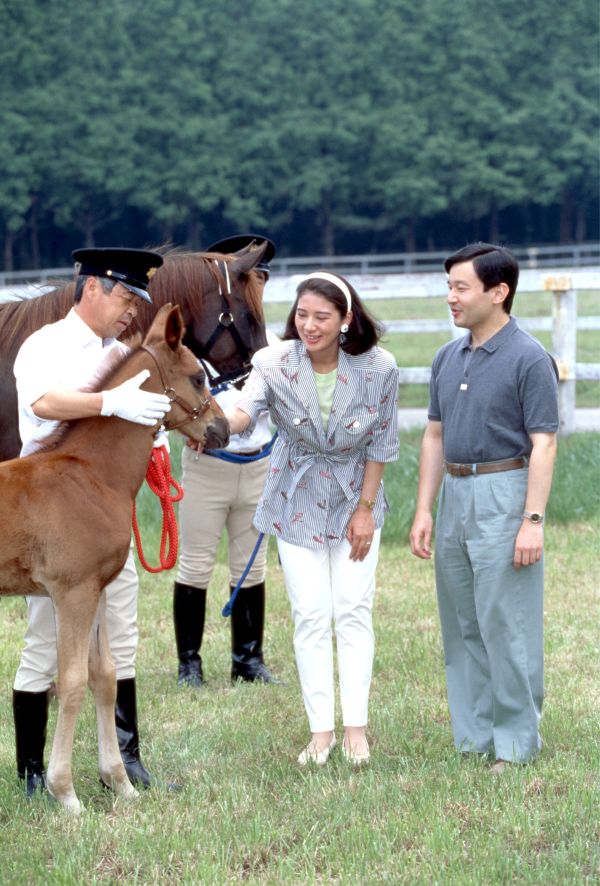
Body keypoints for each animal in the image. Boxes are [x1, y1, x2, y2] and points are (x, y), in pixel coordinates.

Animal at [0, 304, 228, 814]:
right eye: (197, 378)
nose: (224, 430)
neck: (90, 476)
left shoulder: (96, 589)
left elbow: (104, 678)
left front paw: (120, 782)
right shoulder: (72, 592)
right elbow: (69, 683)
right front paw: (65, 794)